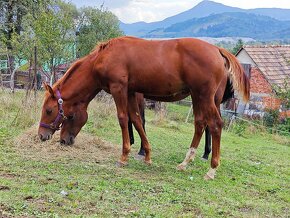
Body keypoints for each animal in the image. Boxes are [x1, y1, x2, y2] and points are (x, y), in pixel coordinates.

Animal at [38, 36, 249, 180]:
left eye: (49, 111)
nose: (42, 135)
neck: (101, 58)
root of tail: (217, 49)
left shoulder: (119, 89)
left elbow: (123, 118)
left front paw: (124, 156)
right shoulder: (131, 92)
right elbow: (137, 120)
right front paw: (146, 154)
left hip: (204, 97)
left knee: (215, 125)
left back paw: (211, 168)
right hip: (199, 97)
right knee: (200, 124)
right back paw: (185, 162)